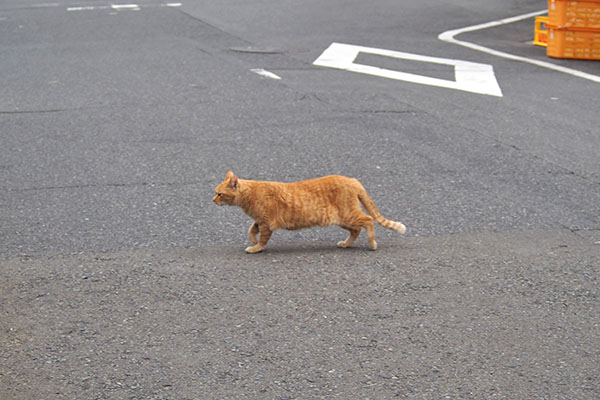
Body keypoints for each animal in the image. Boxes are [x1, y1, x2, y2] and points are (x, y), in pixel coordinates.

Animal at [213, 170, 406, 253]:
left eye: (219, 194)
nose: (213, 200)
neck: (250, 194)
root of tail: (352, 180)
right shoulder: (260, 220)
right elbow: (251, 229)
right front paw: (252, 239)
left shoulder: (267, 223)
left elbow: (262, 239)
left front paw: (255, 247)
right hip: (341, 220)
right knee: (357, 230)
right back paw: (346, 244)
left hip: (348, 215)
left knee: (368, 220)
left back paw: (372, 243)